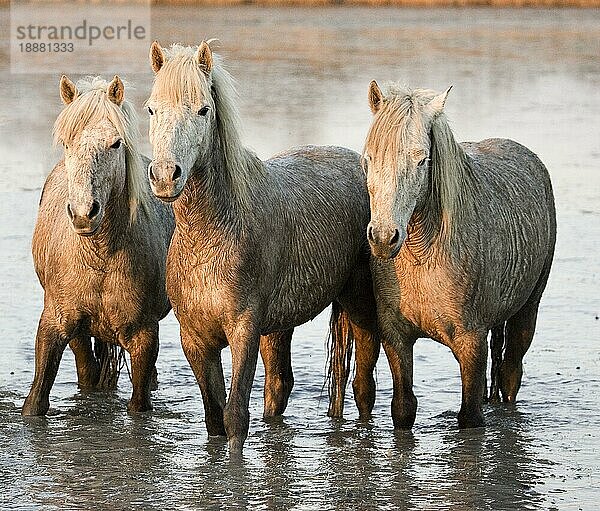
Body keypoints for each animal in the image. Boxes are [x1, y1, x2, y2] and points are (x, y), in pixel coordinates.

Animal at [21, 76, 176, 416]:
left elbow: (139, 404)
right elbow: (36, 400)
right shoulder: (54, 325)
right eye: (67, 143)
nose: (83, 213)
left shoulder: (145, 337)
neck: (99, 256)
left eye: (115, 143)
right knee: (87, 372)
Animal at [145, 43, 380, 452]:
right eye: (152, 109)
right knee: (279, 386)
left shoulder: (244, 331)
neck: (210, 237)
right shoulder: (195, 340)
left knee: (363, 387)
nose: (165, 176)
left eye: (203, 109)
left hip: (360, 308)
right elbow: (214, 418)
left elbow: (235, 414)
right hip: (279, 327)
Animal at [364, 82, 556, 430]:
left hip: (527, 312)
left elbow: (470, 417)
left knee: (511, 373)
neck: (423, 255)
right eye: (370, 158)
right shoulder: (396, 337)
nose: (384, 238)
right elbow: (403, 407)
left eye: (422, 160)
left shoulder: (471, 343)